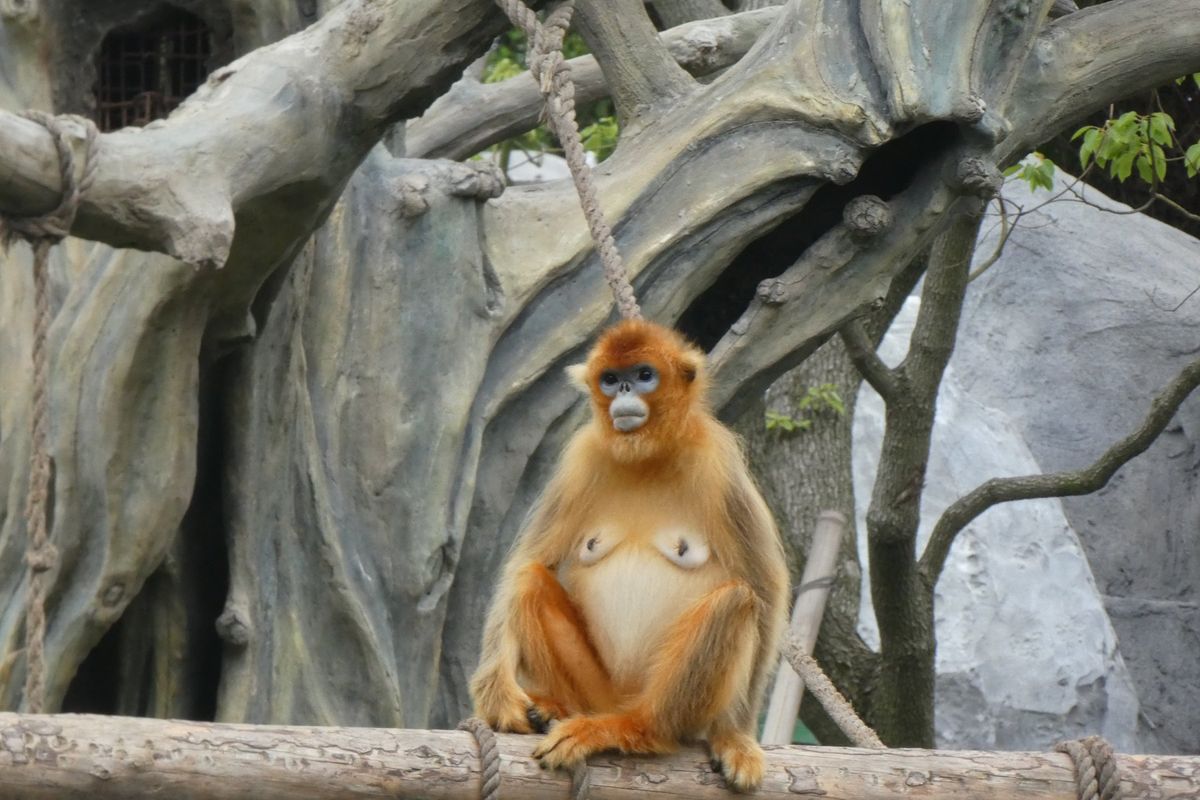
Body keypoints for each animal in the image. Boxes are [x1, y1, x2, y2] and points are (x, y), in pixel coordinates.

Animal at [469, 319, 789, 792]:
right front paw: (495, 691)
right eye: (609, 378)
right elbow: (525, 561)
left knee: (736, 600)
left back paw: (631, 730)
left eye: (643, 375)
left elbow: (765, 587)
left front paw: (735, 736)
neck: (647, 456)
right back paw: (557, 708)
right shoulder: (581, 458)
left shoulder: (720, 463)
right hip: (596, 690)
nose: (623, 389)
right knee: (528, 578)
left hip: (657, 698)